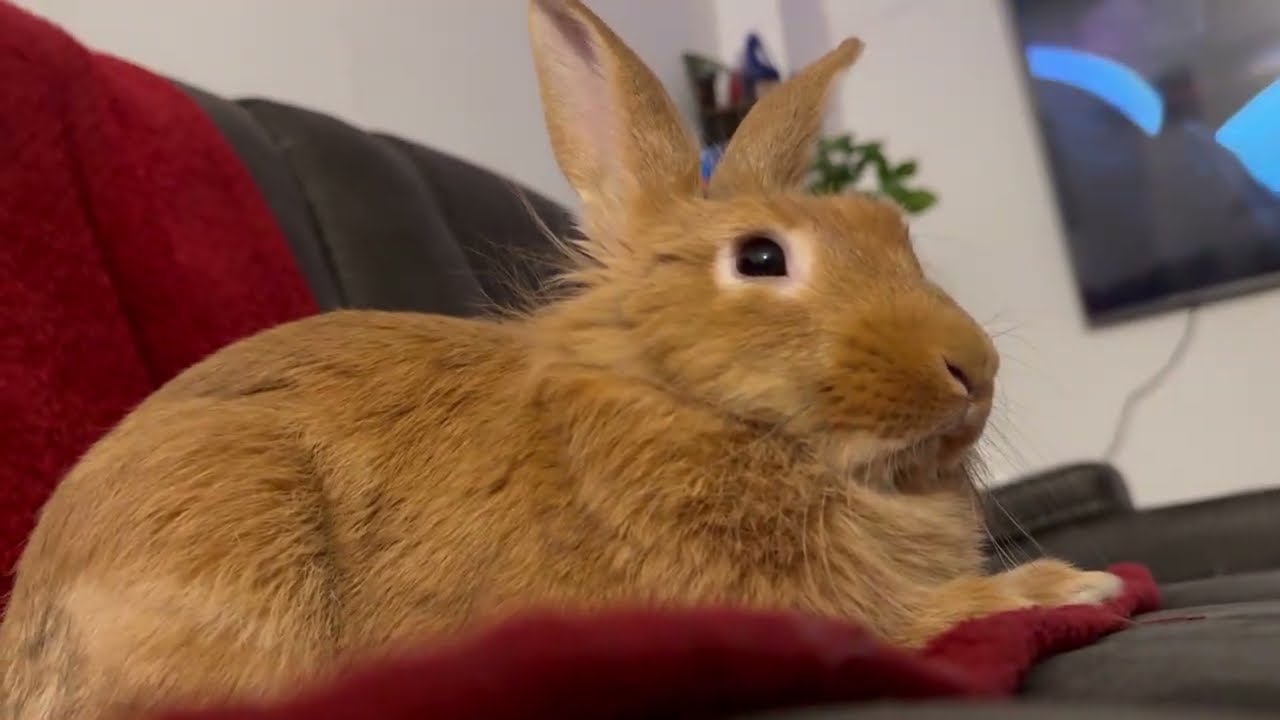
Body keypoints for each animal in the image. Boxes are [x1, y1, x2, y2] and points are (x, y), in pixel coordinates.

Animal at [0, 1, 1125, 718]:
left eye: (892, 232)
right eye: (761, 259)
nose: (971, 369)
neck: (676, 400)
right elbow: (907, 620)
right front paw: (1062, 588)